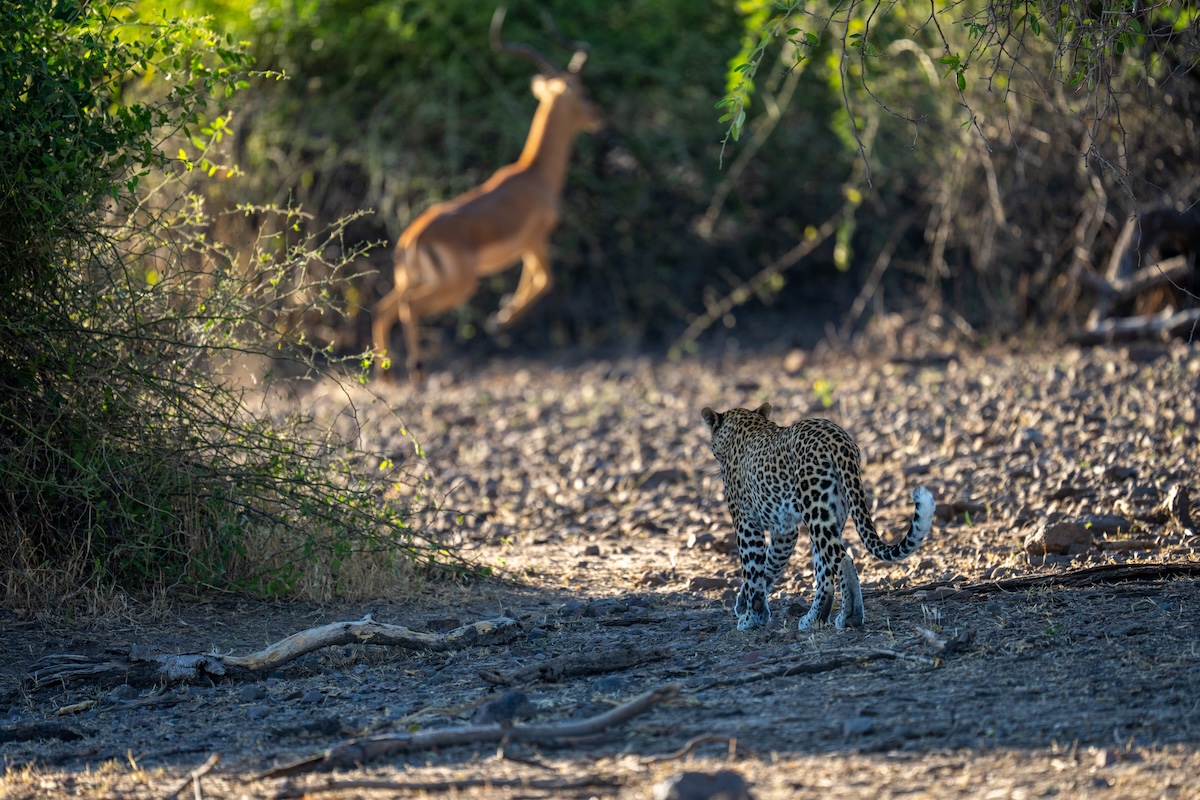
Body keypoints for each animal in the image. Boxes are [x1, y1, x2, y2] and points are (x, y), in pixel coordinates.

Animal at [372, 7, 601, 384]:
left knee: (382, 309)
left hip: (411, 281)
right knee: (409, 307)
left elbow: (535, 281)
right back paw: (416, 370)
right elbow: (544, 281)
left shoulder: (527, 246)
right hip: (456, 286)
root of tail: (412, 240)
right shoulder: (535, 240)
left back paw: (385, 376)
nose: (598, 116)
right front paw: (500, 320)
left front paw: (501, 313)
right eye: (581, 92)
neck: (535, 174)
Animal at [701, 402, 934, 632]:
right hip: (832, 511)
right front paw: (744, 603)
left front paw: (752, 616)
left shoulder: (745, 521)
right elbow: (770, 564)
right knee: (825, 572)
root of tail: (839, 439)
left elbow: (753, 569)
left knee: (842, 559)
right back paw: (814, 618)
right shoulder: (784, 531)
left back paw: (849, 616)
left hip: (814, 507)